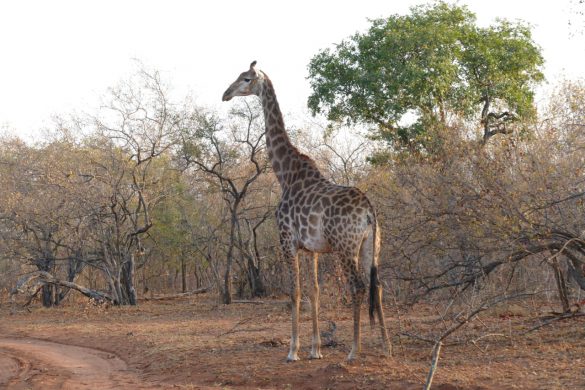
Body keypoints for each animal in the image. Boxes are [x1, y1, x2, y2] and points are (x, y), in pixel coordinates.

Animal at [224, 61, 392, 362]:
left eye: (245, 78)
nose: (226, 94)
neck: (285, 174)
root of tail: (369, 212)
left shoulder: (287, 240)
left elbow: (295, 292)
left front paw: (293, 350)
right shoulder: (312, 248)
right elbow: (314, 291)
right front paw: (315, 349)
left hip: (345, 246)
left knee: (358, 287)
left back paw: (354, 351)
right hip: (371, 246)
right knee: (379, 286)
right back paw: (386, 346)